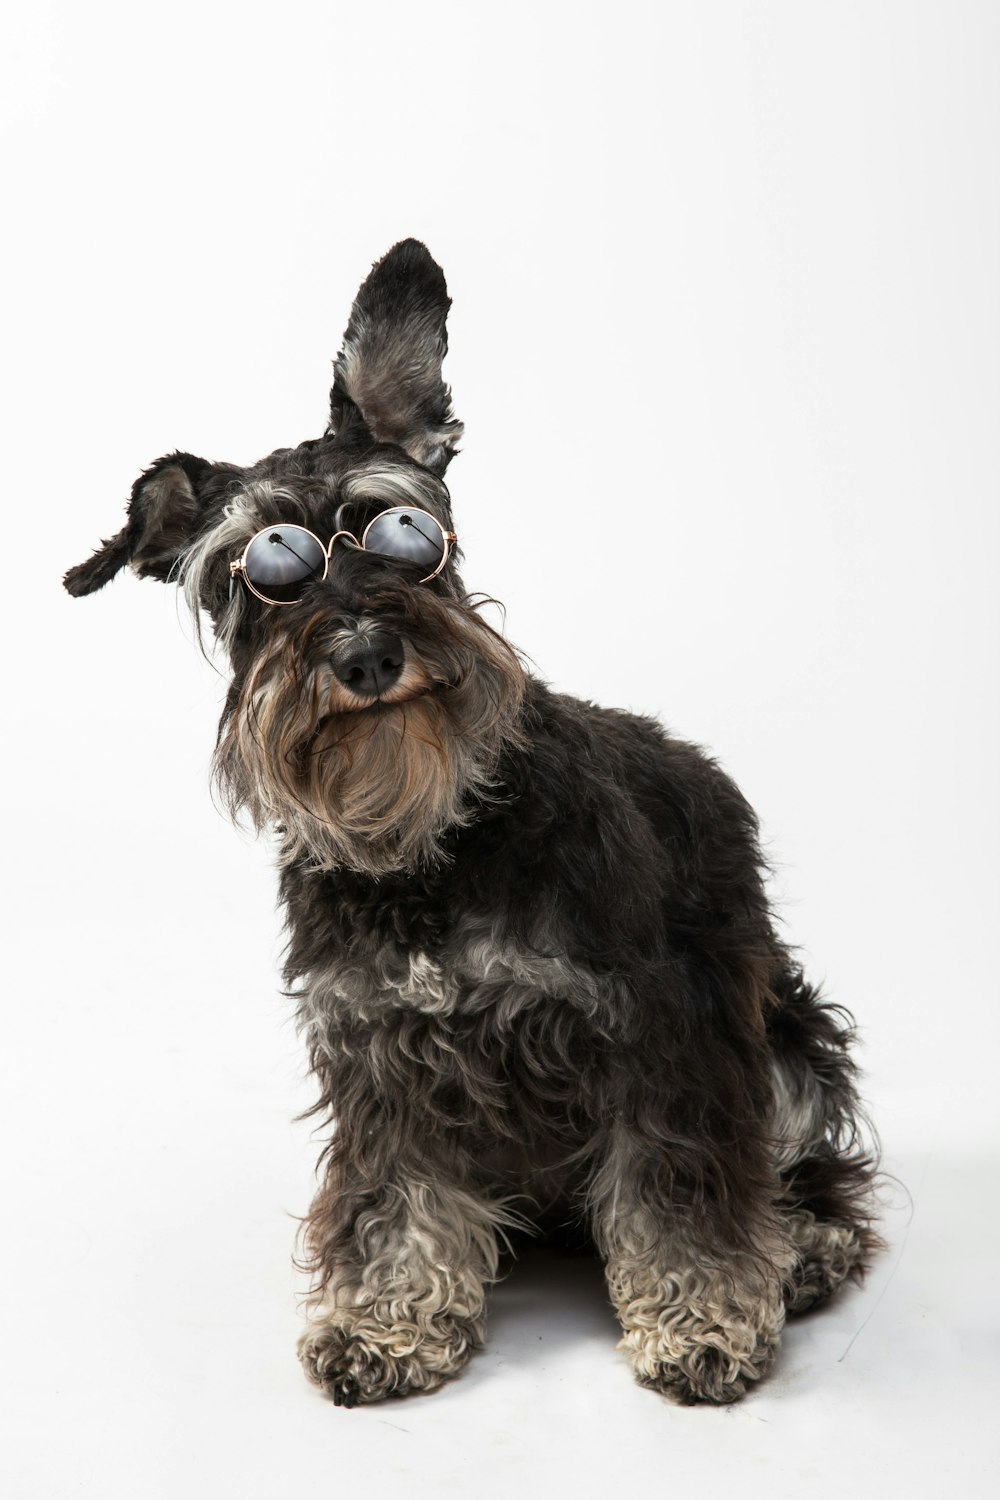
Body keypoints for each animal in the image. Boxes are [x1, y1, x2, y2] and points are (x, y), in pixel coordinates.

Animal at [64, 237, 875, 1404]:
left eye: (405, 528)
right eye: (260, 572)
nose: (365, 656)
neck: (429, 848)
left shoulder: (663, 1032)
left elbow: (681, 1189)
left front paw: (703, 1321)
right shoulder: (380, 1060)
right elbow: (396, 1202)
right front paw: (387, 1325)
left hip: (786, 1036)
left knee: (807, 1169)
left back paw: (803, 1249)